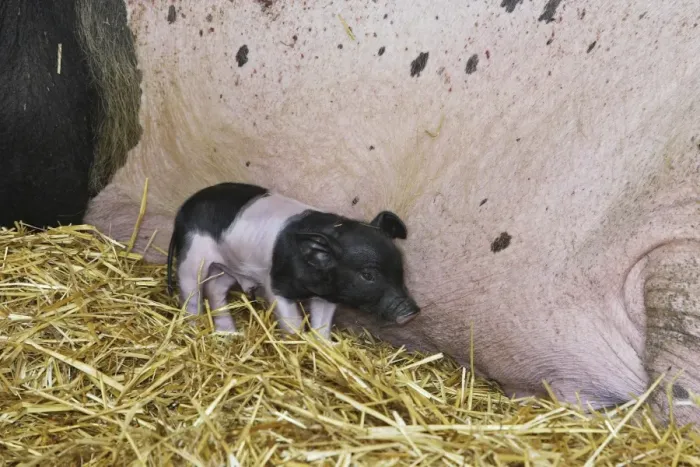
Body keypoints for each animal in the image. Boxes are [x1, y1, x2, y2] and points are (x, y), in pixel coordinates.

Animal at [165, 182, 420, 337]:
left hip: (230, 267)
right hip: (192, 254)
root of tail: (182, 209)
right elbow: (292, 322)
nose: (412, 311)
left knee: (215, 289)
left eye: (401, 267)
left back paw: (230, 332)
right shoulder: (277, 285)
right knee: (191, 290)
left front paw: (322, 346)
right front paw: (297, 340)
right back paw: (192, 325)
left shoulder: (327, 295)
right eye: (368, 274)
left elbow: (322, 325)